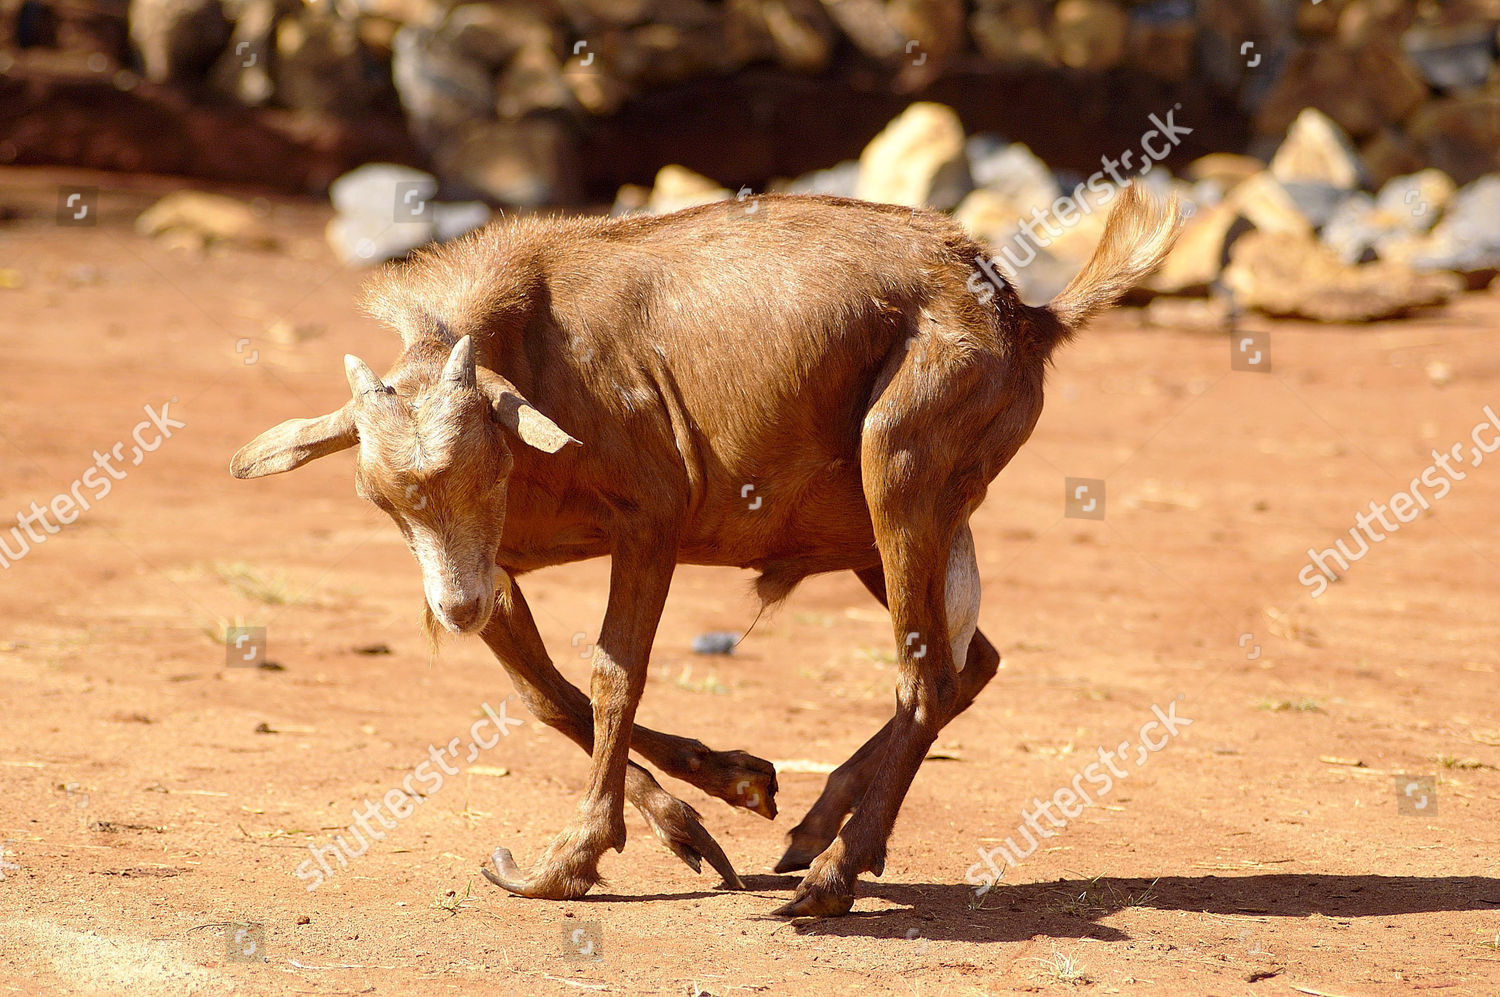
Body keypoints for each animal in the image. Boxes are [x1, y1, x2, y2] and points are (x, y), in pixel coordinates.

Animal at [231, 186, 1182, 917]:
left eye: (491, 464)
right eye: (376, 494)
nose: (451, 611)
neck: (533, 345)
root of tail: (1031, 315)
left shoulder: (651, 519)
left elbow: (613, 674)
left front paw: (572, 860)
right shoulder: (497, 568)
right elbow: (545, 694)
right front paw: (721, 796)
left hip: (902, 471)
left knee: (929, 677)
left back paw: (834, 877)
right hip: (885, 533)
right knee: (973, 659)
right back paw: (813, 827)